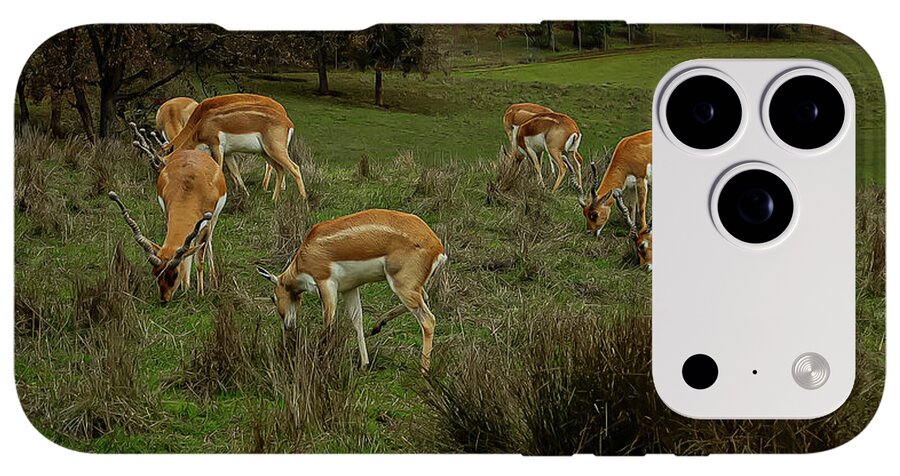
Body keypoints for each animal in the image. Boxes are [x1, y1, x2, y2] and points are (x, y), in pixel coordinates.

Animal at [112, 136, 227, 302]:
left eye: (175, 274)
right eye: (156, 273)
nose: (164, 299)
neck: (190, 190)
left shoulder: (206, 223)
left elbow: (199, 259)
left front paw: (200, 294)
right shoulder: (168, 215)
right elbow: (186, 253)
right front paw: (185, 288)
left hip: (214, 219)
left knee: (208, 244)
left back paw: (213, 279)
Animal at [152, 93, 305, 201]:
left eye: (162, 166)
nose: (160, 186)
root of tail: (288, 121)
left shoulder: (216, 146)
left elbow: (219, 170)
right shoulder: (228, 153)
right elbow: (235, 171)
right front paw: (244, 194)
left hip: (274, 150)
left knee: (294, 168)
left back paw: (302, 200)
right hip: (266, 152)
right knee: (280, 168)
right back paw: (274, 197)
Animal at [256, 209, 447, 373]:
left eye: (273, 297)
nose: (288, 326)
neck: (305, 254)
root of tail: (437, 246)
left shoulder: (326, 284)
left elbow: (329, 323)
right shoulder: (349, 289)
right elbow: (357, 321)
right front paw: (364, 364)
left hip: (402, 286)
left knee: (428, 320)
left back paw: (423, 370)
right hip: (410, 287)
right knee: (424, 298)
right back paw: (377, 326)